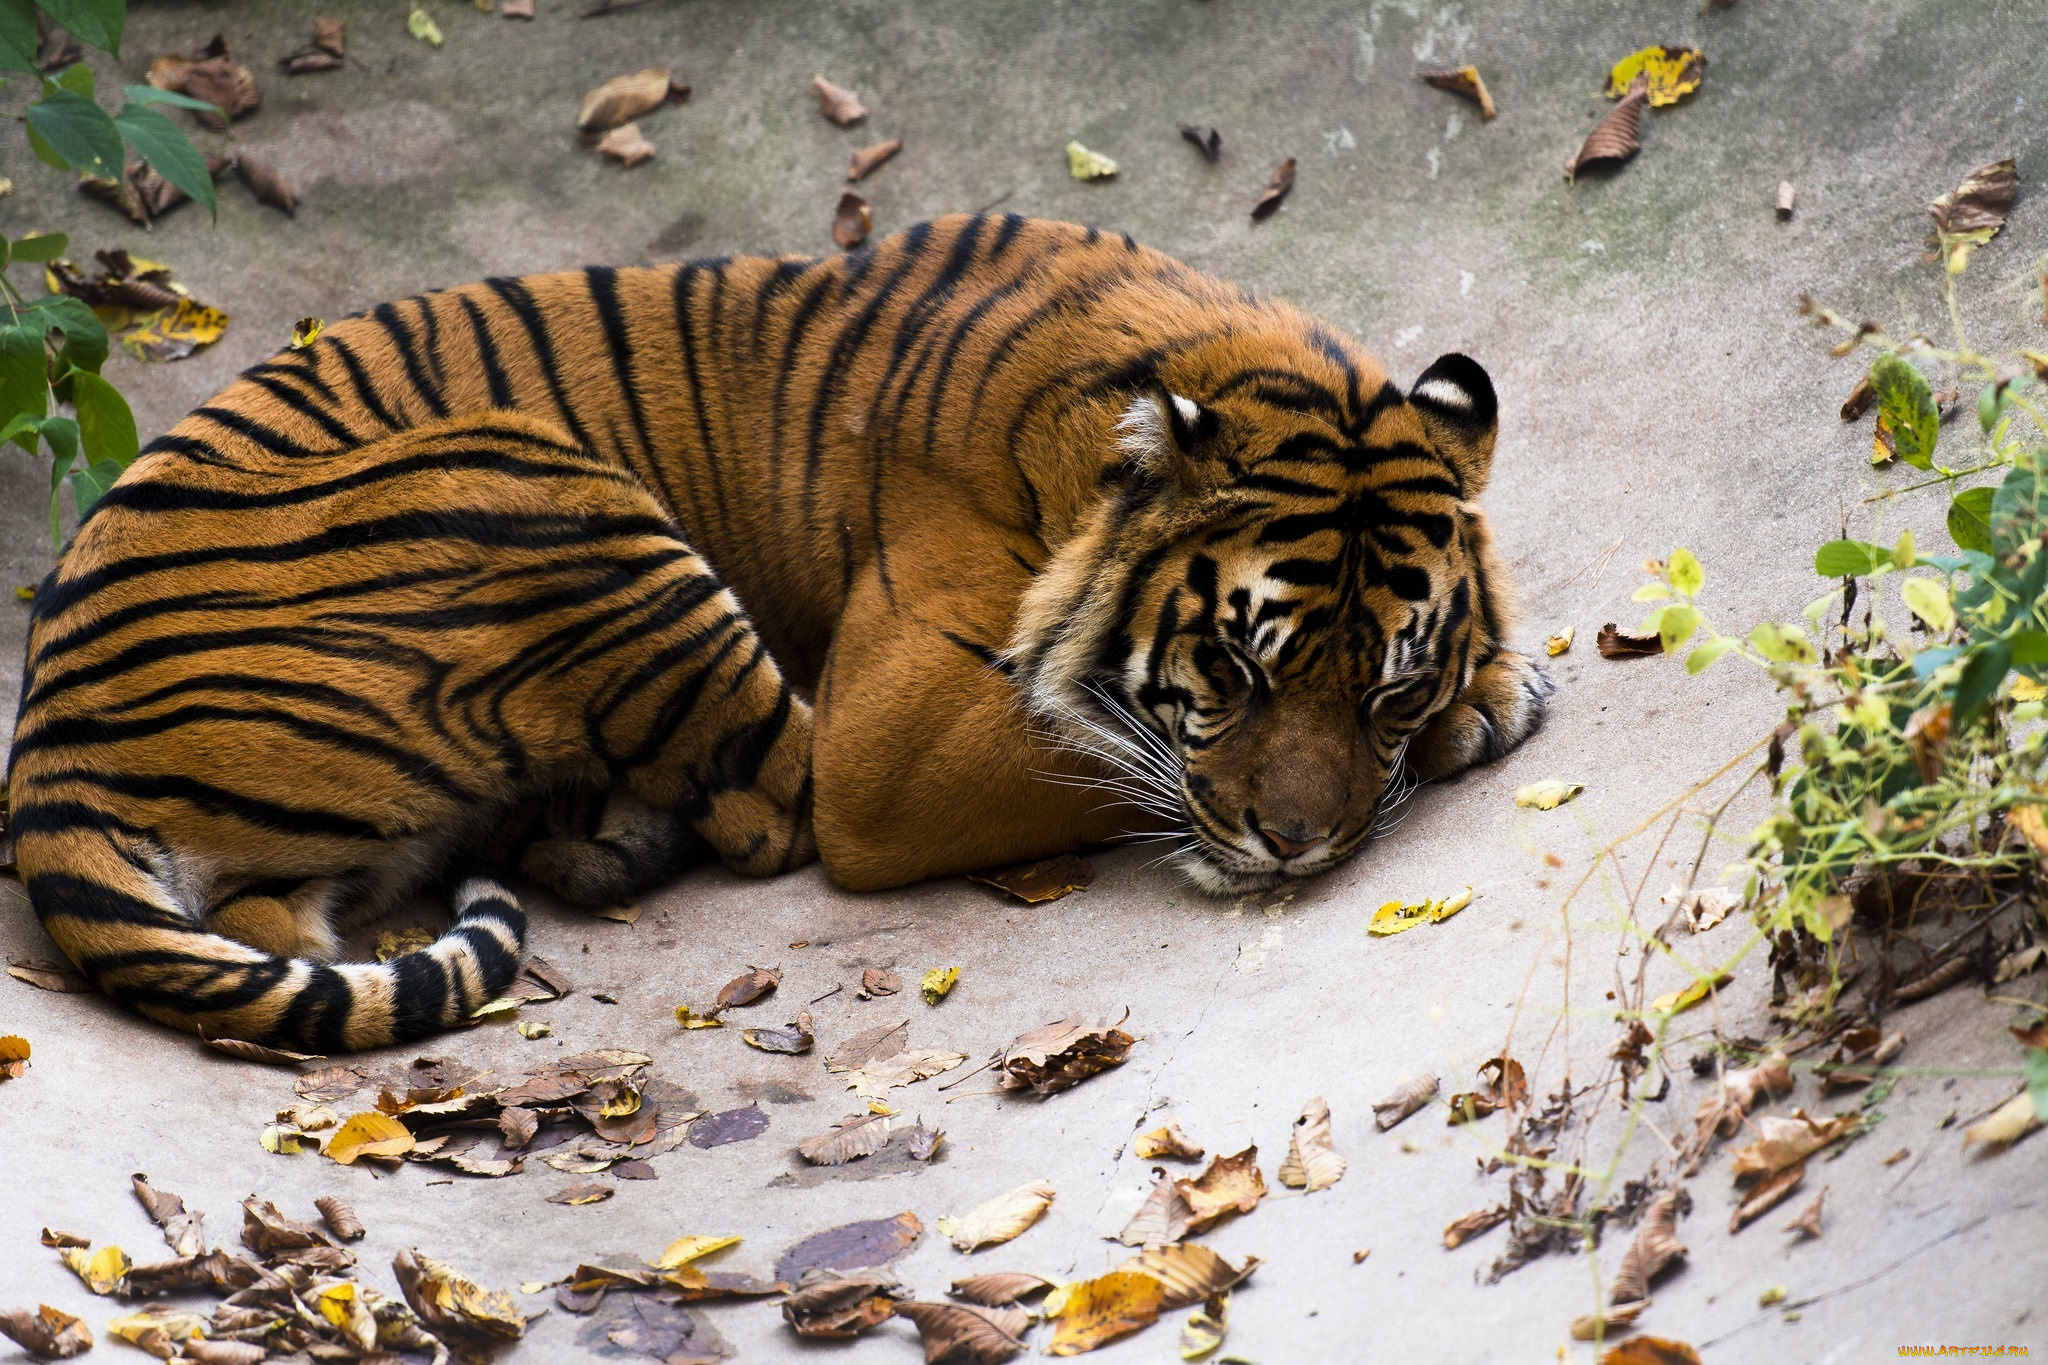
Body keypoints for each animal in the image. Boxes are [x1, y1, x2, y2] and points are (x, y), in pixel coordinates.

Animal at [4, 213, 1548, 1055]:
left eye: (1385, 693)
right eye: (1232, 669)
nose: (1298, 848)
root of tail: (48, 757)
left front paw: (1479, 685)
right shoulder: (897, 738)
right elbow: (1090, 737)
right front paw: (1497, 701)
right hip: (546, 482)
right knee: (764, 812)